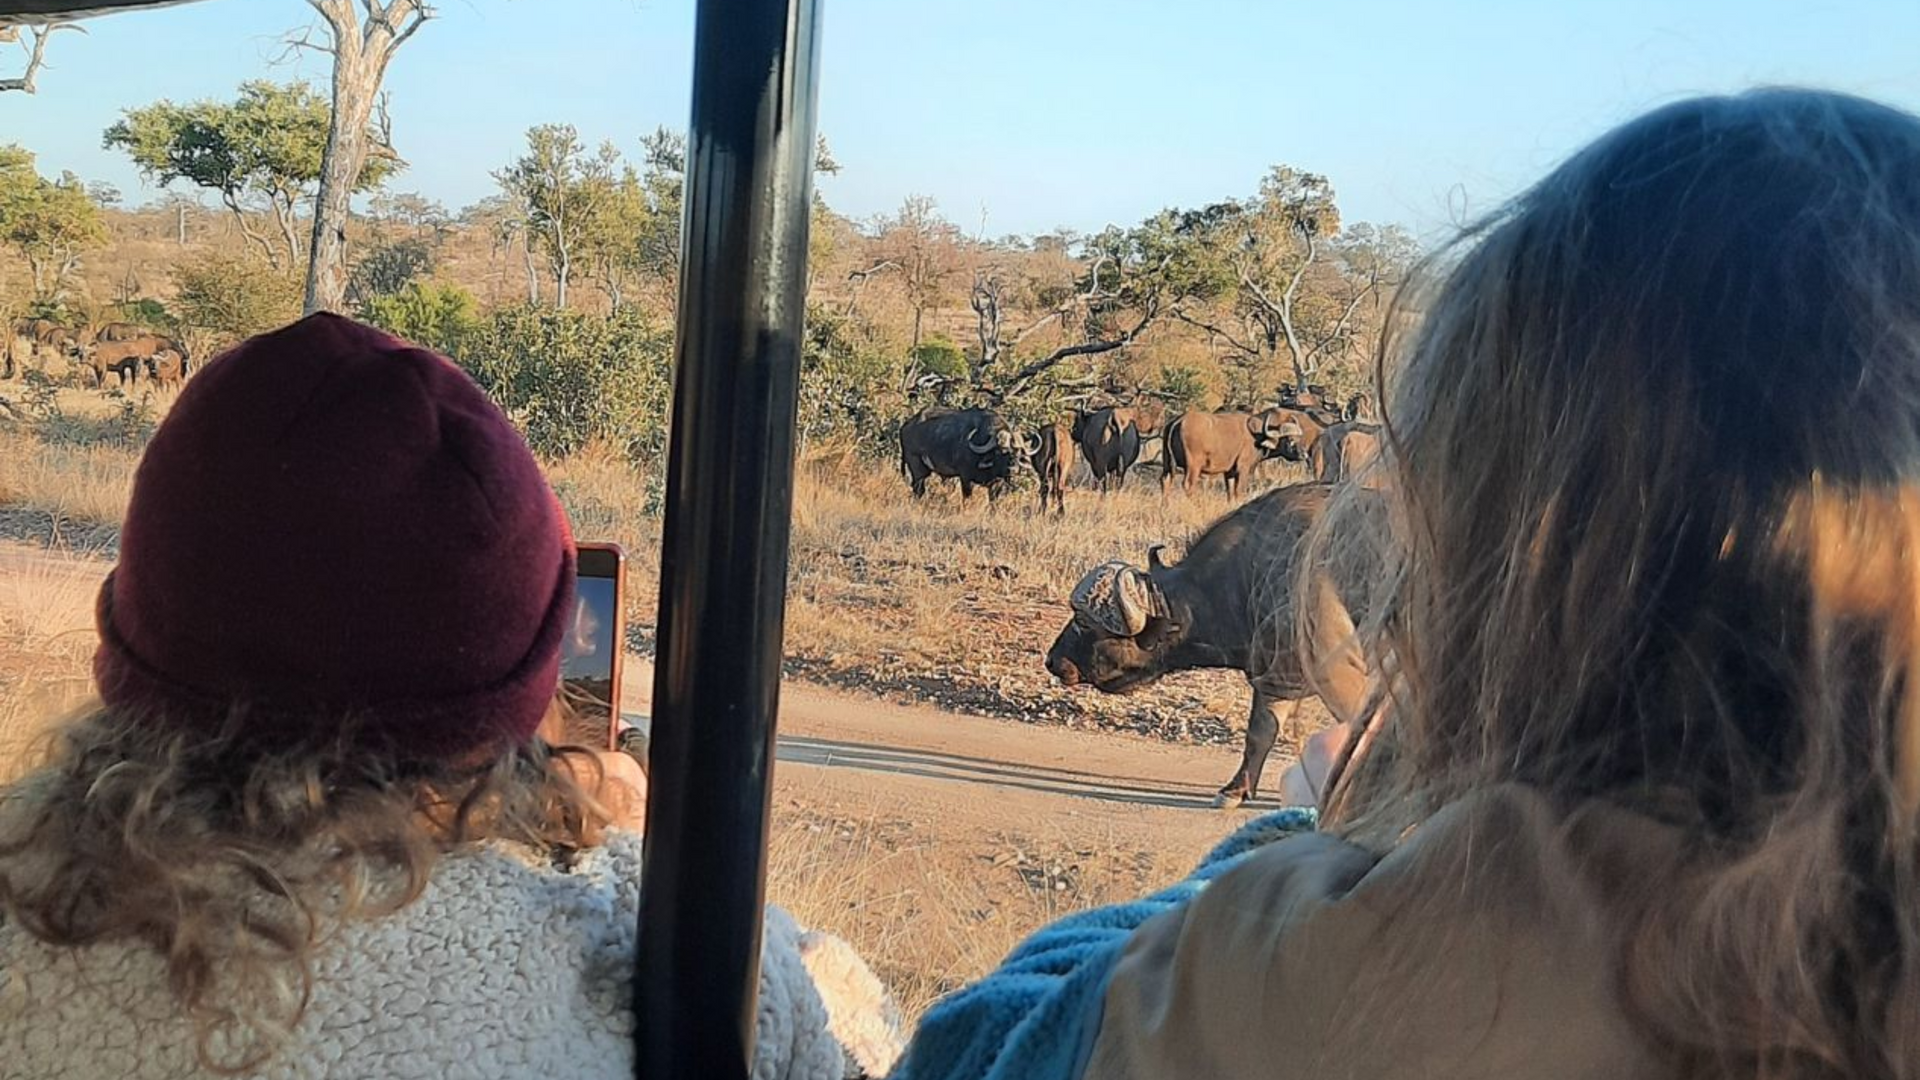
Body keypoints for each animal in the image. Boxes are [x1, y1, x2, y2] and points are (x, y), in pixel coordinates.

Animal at [898, 406, 1035, 502]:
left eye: (1017, 451)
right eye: (999, 451)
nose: (1012, 468)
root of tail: (905, 426)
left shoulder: (997, 484)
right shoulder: (966, 478)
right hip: (917, 468)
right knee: (918, 490)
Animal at [1047, 481, 1380, 805]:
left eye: (1083, 621)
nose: (1052, 661)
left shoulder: (1337, 676)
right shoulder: (1275, 678)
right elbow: (1260, 733)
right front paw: (1235, 790)